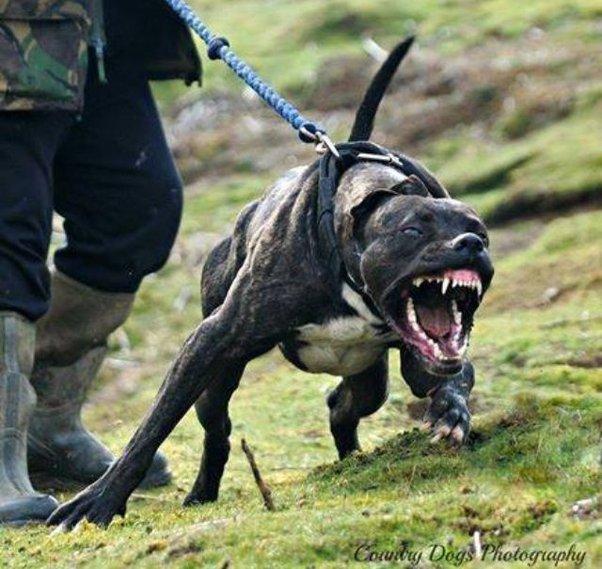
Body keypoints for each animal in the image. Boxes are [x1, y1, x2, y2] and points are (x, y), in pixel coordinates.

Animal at [49, 36, 492, 528]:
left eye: (479, 227)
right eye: (413, 229)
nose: (471, 243)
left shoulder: (428, 359)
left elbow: (456, 376)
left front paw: (452, 411)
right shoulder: (207, 342)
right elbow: (151, 429)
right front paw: (101, 499)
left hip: (365, 378)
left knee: (342, 405)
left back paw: (353, 457)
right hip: (218, 378)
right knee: (219, 431)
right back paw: (201, 493)